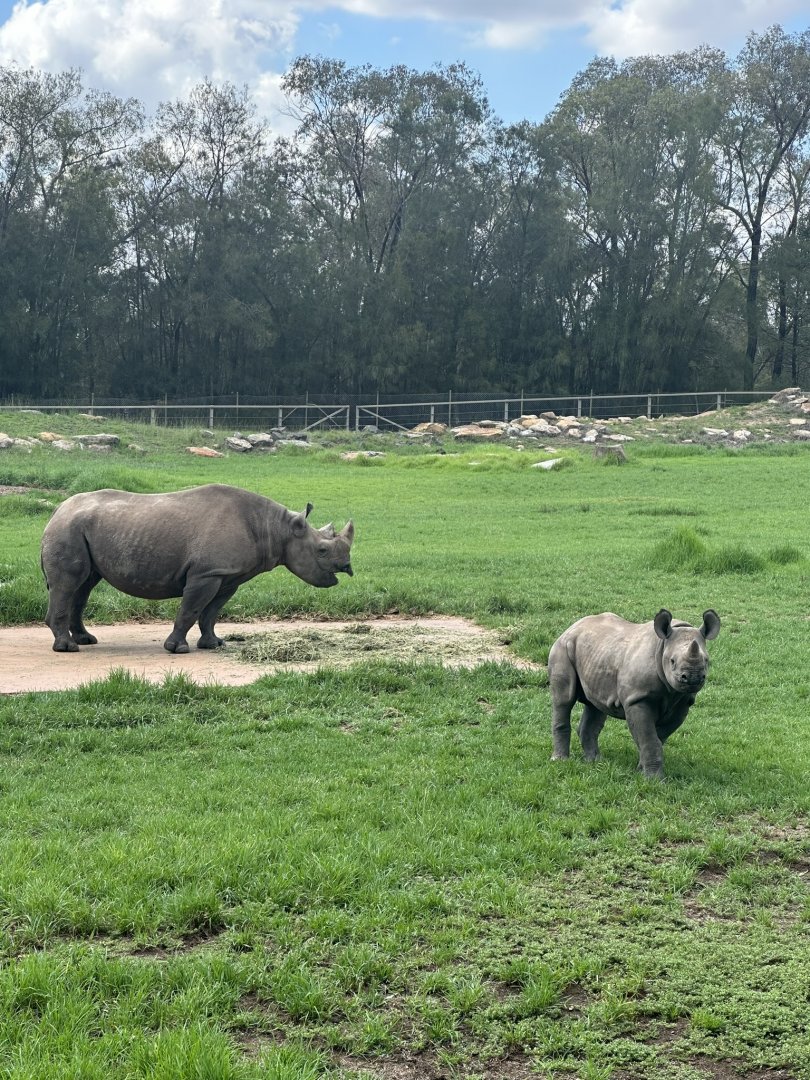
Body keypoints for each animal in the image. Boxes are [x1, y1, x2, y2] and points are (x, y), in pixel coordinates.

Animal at [41, 483, 354, 654]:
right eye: (322, 550)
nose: (348, 568)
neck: (276, 529)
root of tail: (57, 509)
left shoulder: (228, 575)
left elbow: (211, 612)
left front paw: (213, 644)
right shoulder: (206, 573)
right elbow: (190, 609)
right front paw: (177, 649)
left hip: (80, 528)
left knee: (84, 586)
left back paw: (86, 640)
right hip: (68, 529)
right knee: (69, 584)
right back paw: (68, 648)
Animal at [548, 609, 720, 779]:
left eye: (706, 660)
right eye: (672, 661)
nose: (693, 677)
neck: (662, 646)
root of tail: (572, 626)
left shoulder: (683, 702)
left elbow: (656, 738)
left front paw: (641, 771)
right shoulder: (637, 699)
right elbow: (649, 739)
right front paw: (654, 779)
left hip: (597, 653)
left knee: (595, 705)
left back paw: (595, 762)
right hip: (563, 648)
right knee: (564, 700)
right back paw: (560, 760)